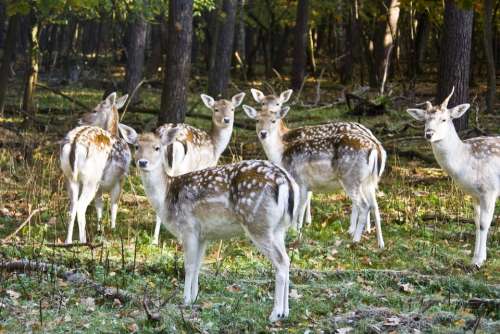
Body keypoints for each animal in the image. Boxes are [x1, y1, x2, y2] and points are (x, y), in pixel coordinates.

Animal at [61, 92, 138, 244]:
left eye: (94, 110)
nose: (80, 120)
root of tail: (74, 144)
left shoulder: (100, 186)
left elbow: (99, 206)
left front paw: (100, 229)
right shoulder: (121, 178)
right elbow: (114, 204)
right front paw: (113, 229)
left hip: (70, 177)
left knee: (72, 207)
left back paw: (68, 241)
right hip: (91, 179)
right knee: (81, 206)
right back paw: (83, 241)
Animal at [131, 127, 298, 320]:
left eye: (157, 147)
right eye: (136, 146)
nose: (143, 162)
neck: (167, 196)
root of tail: (285, 182)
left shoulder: (188, 227)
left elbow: (189, 266)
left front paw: (185, 300)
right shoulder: (203, 235)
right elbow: (198, 266)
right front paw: (194, 298)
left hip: (257, 223)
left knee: (280, 261)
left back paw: (275, 314)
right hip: (278, 228)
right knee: (287, 260)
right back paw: (286, 312)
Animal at [149, 92, 247, 244]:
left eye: (232, 109)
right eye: (216, 109)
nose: (227, 120)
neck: (215, 148)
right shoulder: (205, 167)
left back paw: (155, 240)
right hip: (183, 167)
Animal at [406, 87, 500, 268]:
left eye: (444, 119)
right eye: (425, 120)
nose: (429, 134)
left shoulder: (489, 189)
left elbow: (484, 224)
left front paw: (478, 262)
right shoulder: (475, 195)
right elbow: (476, 222)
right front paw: (476, 257)